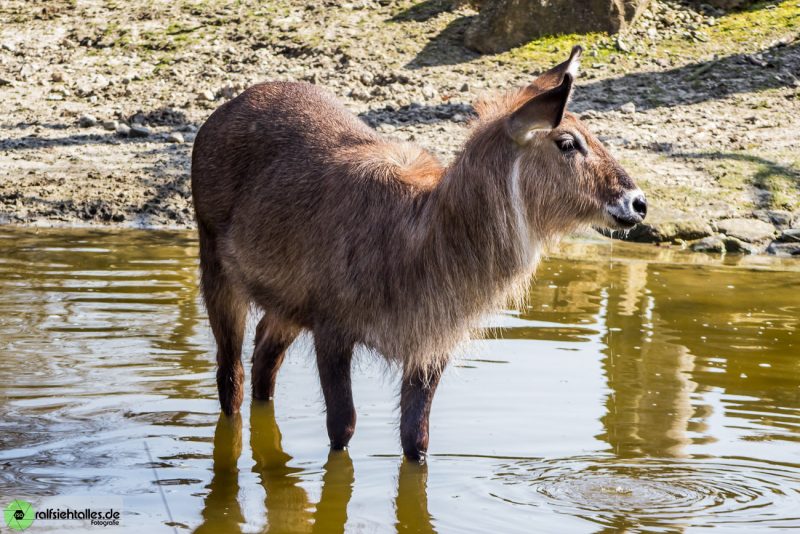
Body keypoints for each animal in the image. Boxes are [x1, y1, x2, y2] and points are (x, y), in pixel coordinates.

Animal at [191, 47, 648, 460]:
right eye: (568, 142)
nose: (638, 203)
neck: (421, 237)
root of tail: (228, 107)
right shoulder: (333, 330)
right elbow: (343, 426)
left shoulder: (430, 345)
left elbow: (417, 439)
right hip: (218, 273)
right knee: (231, 377)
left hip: (286, 305)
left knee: (263, 361)